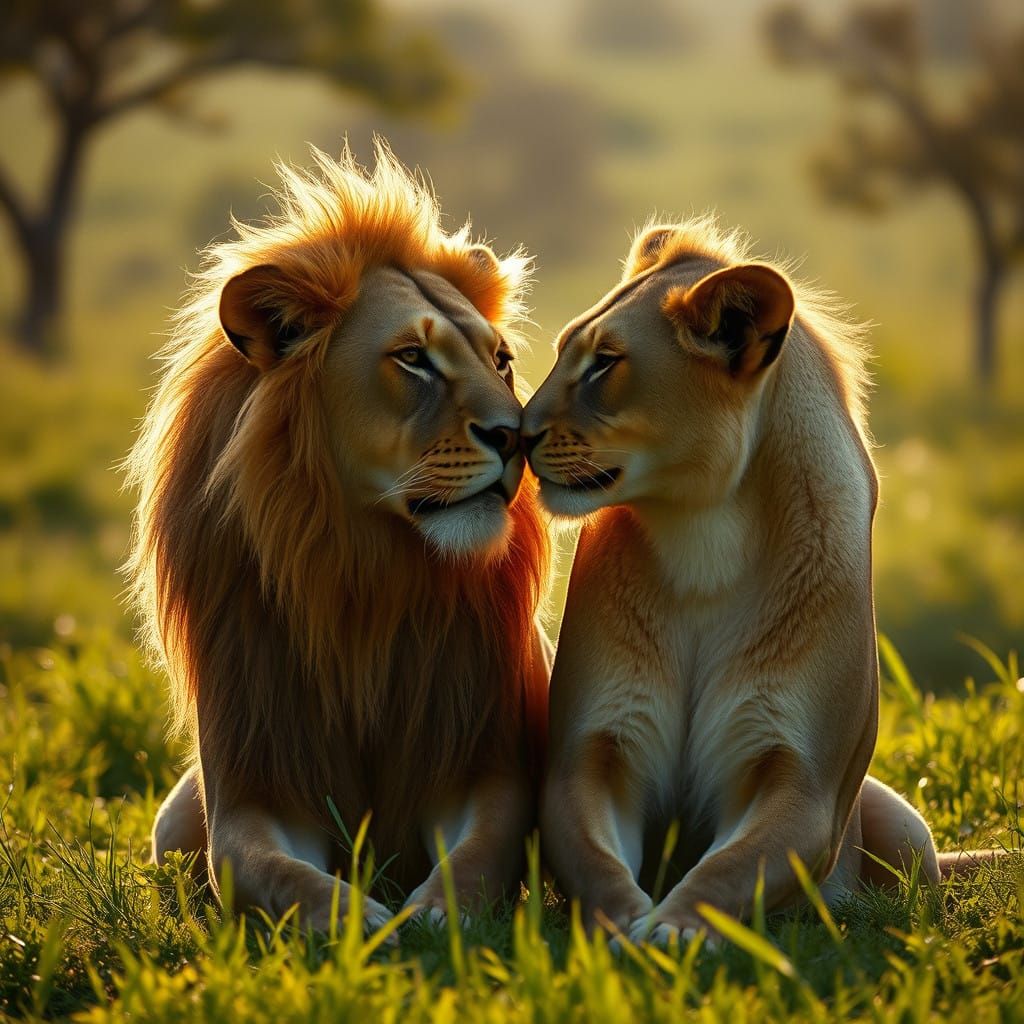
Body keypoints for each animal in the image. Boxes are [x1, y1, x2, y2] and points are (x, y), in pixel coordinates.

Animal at [126, 143, 552, 933]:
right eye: (413, 358)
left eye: (501, 360)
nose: (518, 438)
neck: (363, 572)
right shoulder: (254, 790)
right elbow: (272, 872)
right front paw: (362, 925)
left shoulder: (486, 770)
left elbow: (477, 863)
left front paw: (427, 923)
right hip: (174, 822)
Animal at [522, 216, 995, 945]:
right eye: (564, 351)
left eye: (605, 362)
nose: (513, 433)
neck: (705, 541)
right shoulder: (594, 752)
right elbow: (596, 860)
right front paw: (625, 923)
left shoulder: (802, 785)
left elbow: (728, 869)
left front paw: (672, 930)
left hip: (903, 822)